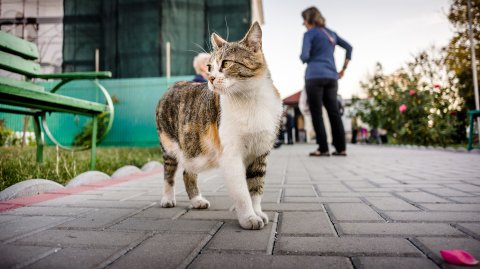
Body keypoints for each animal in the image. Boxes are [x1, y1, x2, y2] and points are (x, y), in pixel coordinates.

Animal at [156, 22, 284, 229]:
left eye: (225, 63)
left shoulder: (260, 152)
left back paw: (196, 200)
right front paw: (249, 218)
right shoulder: (231, 155)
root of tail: (174, 84)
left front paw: (257, 212)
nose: (210, 78)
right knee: (169, 172)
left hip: (194, 150)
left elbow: (256, 188)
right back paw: (167, 198)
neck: (251, 100)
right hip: (169, 146)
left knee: (187, 172)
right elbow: (242, 192)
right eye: (209, 67)